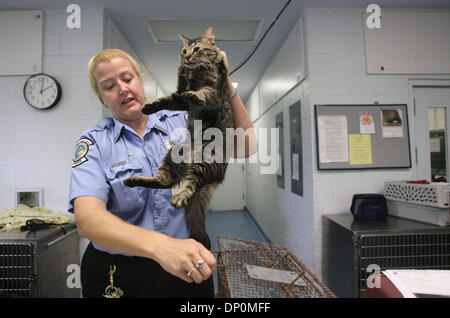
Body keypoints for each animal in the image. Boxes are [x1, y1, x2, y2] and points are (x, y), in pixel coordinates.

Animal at [125, 27, 234, 245]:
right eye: (184, 50)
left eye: (197, 49)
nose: (187, 57)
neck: (195, 73)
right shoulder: (179, 95)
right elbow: (165, 99)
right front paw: (149, 106)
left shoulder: (213, 89)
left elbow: (202, 93)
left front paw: (195, 94)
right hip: (172, 155)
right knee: (163, 182)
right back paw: (132, 181)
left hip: (204, 161)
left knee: (190, 186)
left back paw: (179, 198)